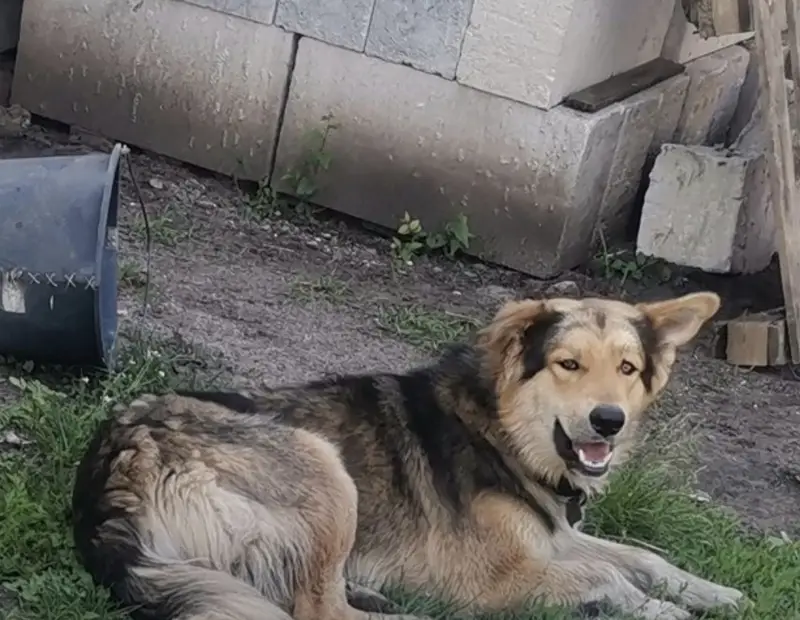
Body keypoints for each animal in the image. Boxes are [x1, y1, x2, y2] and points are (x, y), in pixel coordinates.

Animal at [71, 291, 746, 620]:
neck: (497, 430)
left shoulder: (552, 538)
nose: (610, 420)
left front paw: (717, 594)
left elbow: (642, 558)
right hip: (325, 468)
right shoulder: (491, 577)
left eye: (628, 369)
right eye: (568, 364)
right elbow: (612, 576)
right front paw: (655, 610)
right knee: (316, 611)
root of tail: (118, 466)